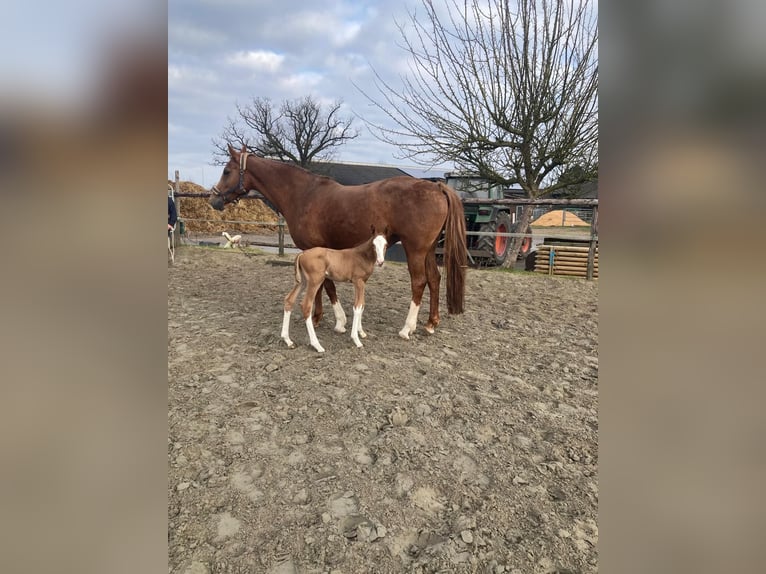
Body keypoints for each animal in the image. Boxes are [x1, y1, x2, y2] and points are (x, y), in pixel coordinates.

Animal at [210, 145, 467, 339]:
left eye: (226, 170)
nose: (214, 199)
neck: (303, 194)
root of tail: (436, 186)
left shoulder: (314, 249)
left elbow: (326, 286)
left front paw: (333, 320)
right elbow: (323, 286)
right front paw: (322, 317)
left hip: (415, 249)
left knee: (419, 282)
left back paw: (407, 328)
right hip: (429, 250)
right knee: (434, 279)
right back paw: (431, 323)